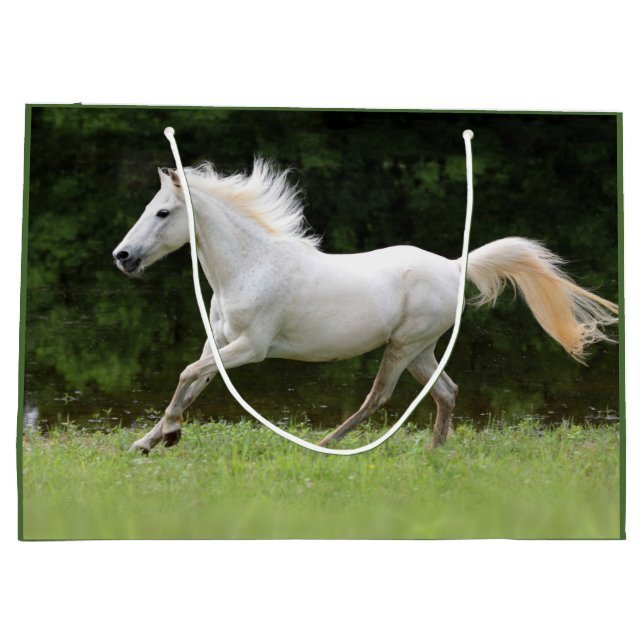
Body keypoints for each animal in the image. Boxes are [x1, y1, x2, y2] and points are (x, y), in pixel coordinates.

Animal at [113, 160, 618, 454]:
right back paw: (435, 452)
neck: (249, 266)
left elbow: (186, 376)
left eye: (163, 213)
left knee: (379, 398)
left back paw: (326, 444)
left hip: (403, 346)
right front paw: (148, 441)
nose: (122, 256)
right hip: (420, 349)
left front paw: (169, 434)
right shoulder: (217, 343)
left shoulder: (251, 348)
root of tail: (455, 265)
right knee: (446, 391)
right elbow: (191, 382)